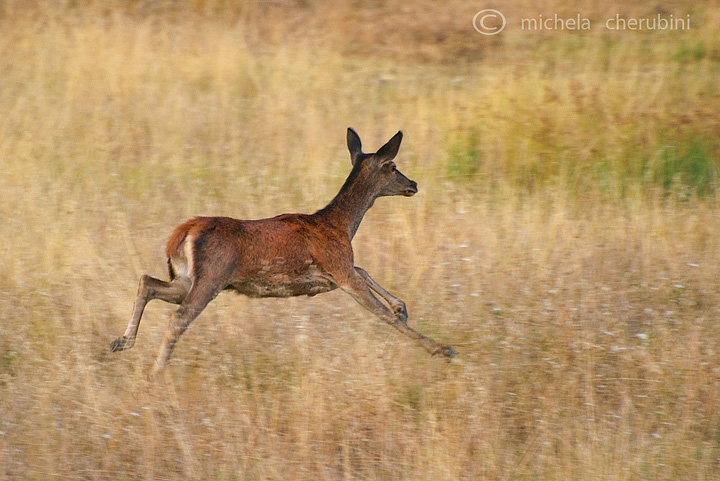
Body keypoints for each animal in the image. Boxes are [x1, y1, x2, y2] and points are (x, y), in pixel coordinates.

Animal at [109, 127, 452, 372]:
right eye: (393, 166)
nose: (414, 184)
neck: (340, 225)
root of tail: (182, 234)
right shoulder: (338, 267)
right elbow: (378, 310)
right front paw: (441, 348)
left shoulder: (331, 274)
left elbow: (365, 270)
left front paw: (402, 308)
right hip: (211, 277)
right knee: (177, 320)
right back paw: (157, 372)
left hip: (185, 278)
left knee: (147, 282)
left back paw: (122, 341)